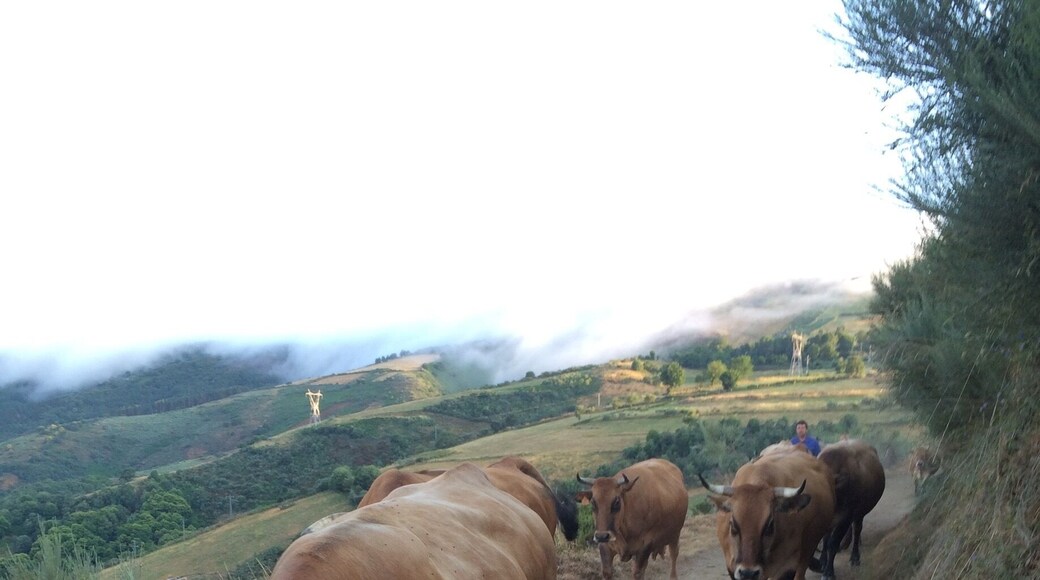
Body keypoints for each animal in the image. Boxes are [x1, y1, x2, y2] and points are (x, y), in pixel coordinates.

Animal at [815, 439, 886, 580]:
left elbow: (833, 543)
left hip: (860, 513)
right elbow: (825, 539)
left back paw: (855, 557)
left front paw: (828, 572)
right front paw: (822, 561)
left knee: (857, 530)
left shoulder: (845, 518)